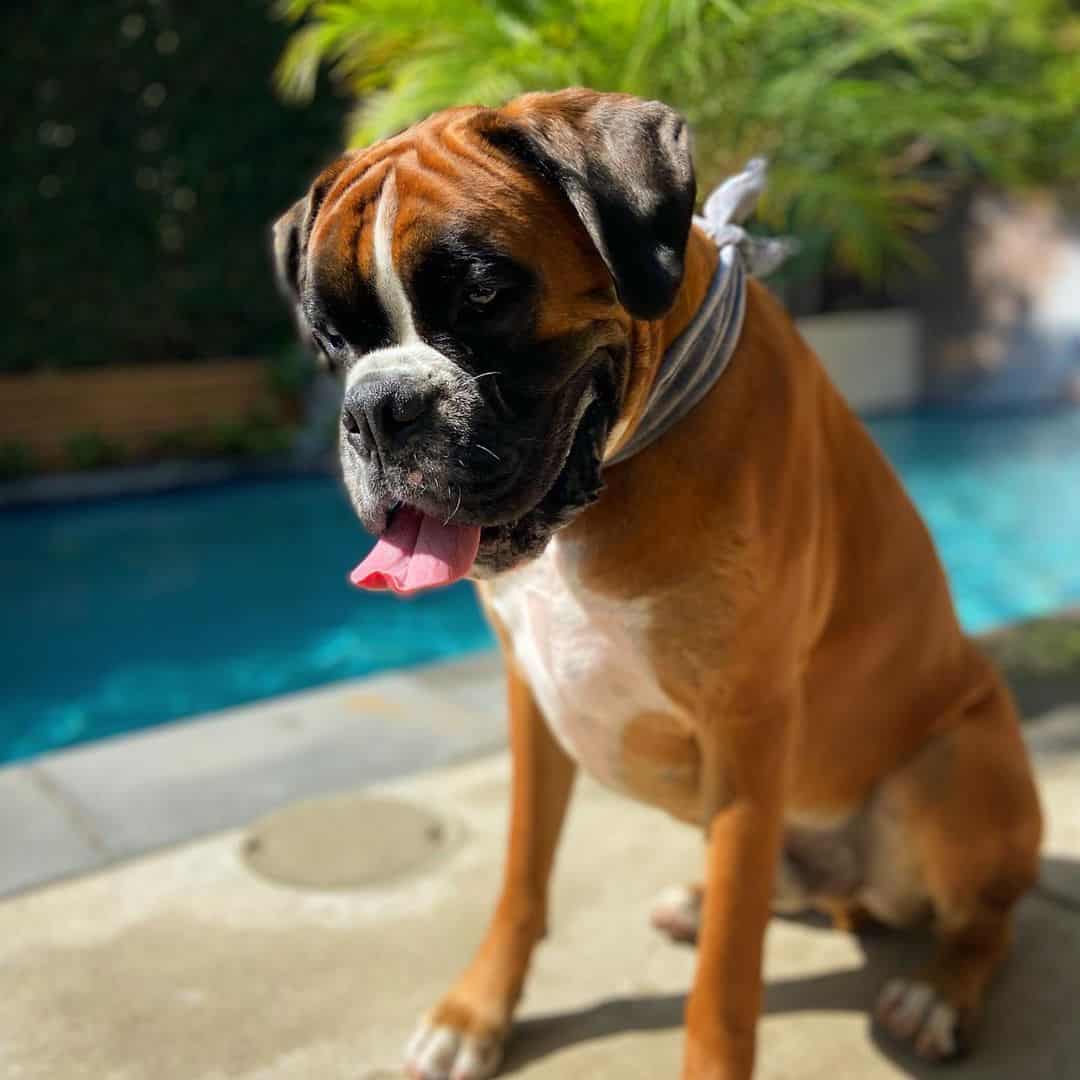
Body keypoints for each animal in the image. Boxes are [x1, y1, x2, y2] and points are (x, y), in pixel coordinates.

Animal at [274, 88, 1041, 1075]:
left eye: (484, 294)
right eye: (332, 337)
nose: (377, 407)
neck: (620, 461)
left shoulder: (748, 728)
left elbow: (727, 979)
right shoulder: (534, 696)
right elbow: (522, 873)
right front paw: (477, 1012)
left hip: (947, 770)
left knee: (987, 918)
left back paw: (938, 992)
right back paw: (705, 898)